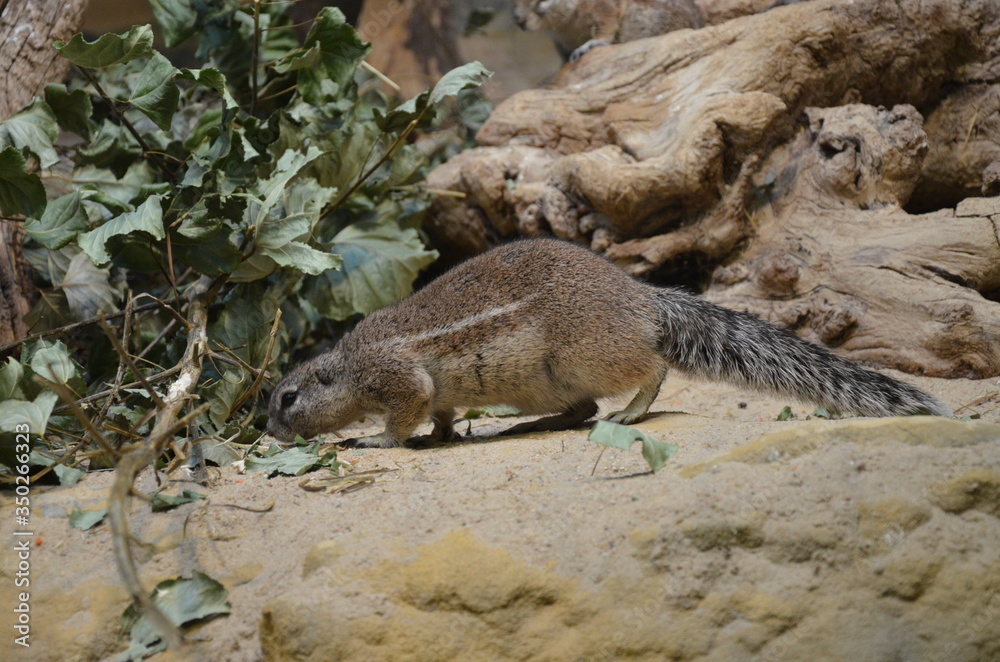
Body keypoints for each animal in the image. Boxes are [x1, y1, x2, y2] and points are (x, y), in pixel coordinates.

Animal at [267, 239, 950, 448]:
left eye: (286, 398)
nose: (269, 434)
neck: (348, 364)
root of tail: (642, 298)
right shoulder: (436, 391)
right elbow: (440, 414)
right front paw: (443, 435)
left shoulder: (400, 379)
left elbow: (404, 416)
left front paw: (373, 440)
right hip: (554, 378)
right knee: (580, 408)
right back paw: (529, 424)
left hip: (589, 354)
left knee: (649, 371)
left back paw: (631, 411)